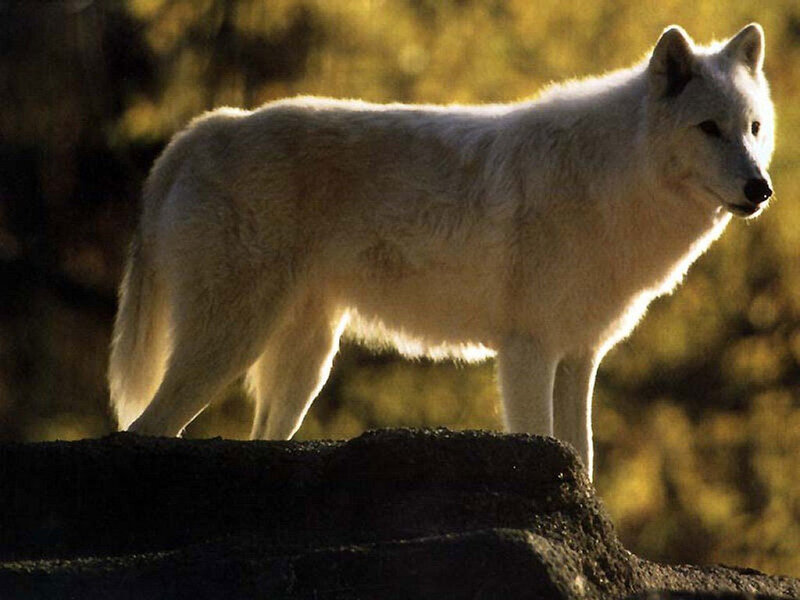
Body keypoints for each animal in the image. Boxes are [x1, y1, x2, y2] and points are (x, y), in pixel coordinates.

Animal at [109, 24, 774, 477]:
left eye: (754, 128)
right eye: (708, 128)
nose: (760, 189)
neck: (609, 179)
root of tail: (204, 128)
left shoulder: (579, 357)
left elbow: (582, 460)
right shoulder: (528, 351)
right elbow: (545, 440)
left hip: (305, 363)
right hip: (232, 343)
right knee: (144, 428)